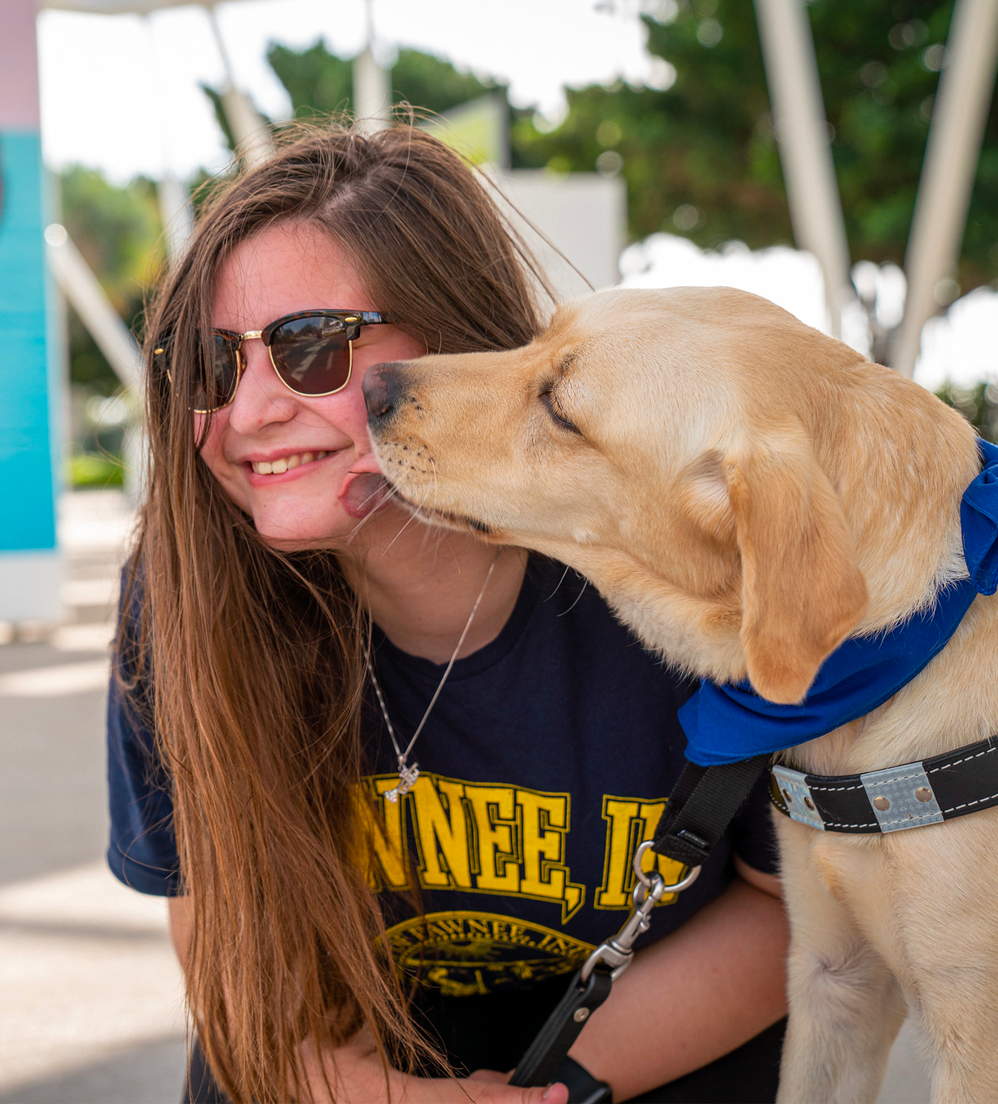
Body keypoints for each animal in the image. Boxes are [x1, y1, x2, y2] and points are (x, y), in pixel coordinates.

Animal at [364, 287, 998, 1104]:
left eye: (561, 410)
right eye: (537, 337)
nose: (370, 385)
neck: (909, 647)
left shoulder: (972, 1035)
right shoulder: (835, 977)